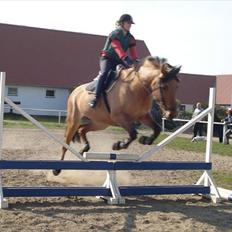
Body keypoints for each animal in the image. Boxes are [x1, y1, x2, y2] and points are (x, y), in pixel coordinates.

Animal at [53, 55, 181, 176]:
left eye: (176, 87)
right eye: (164, 87)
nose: (172, 113)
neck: (137, 88)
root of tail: (75, 91)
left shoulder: (142, 116)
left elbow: (157, 129)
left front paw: (145, 140)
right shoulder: (120, 117)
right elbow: (133, 133)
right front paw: (118, 145)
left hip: (100, 123)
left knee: (82, 130)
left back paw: (84, 149)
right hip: (74, 120)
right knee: (66, 143)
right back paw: (57, 169)